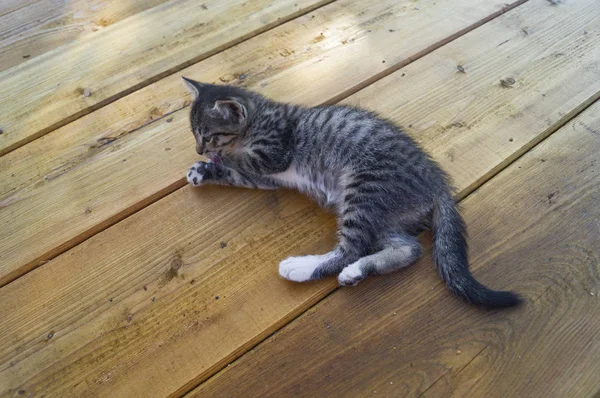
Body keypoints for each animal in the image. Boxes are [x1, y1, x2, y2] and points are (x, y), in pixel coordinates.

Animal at [182, 76, 520, 310]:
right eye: (194, 133)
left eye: (207, 135)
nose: (199, 149)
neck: (259, 118)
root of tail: (437, 183)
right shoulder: (265, 178)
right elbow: (237, 175)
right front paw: (203, 170)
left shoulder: (273, 154)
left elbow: (240, 160)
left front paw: (216, 160)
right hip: (388, 215)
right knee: (409, 249)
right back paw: (357, 271)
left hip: (366, 189)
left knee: (352, 247)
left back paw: (302, 267)